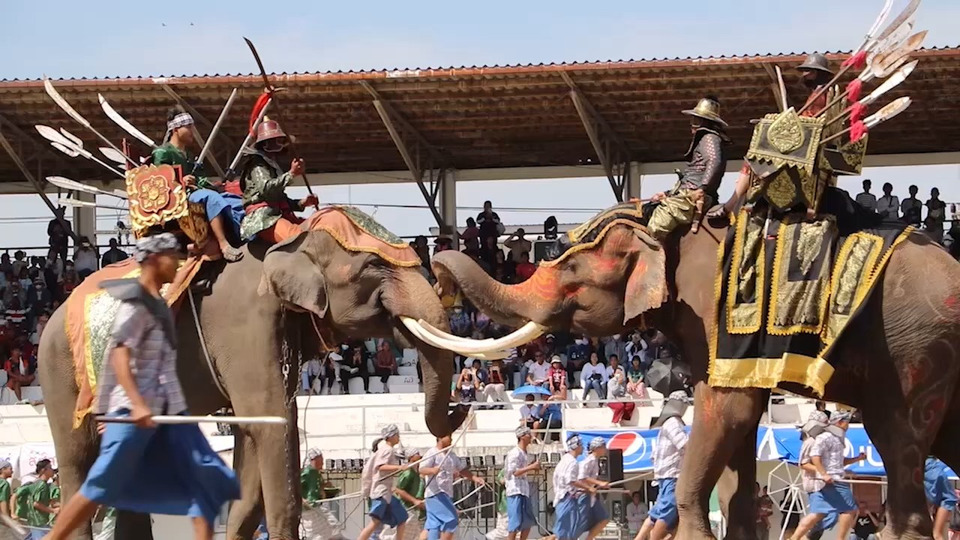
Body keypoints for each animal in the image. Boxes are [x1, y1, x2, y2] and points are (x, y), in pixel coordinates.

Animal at [39, 218, 468, 540]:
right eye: (373, 267)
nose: (462, 406)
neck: (290, 240)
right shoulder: (246, 323)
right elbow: (271, 424)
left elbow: (261, 433)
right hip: (59, 374)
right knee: (78, 463)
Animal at [422, 207, 960, 540]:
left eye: (572, 271)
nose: (438, 266)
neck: (665, 230)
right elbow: (740, 421)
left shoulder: (712, 312)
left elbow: (727, 409)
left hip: (915, 349)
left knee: (897, 436)